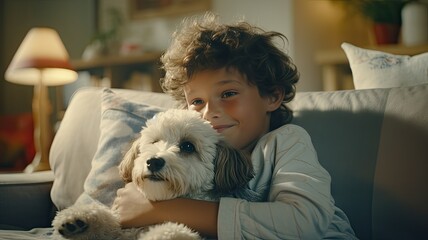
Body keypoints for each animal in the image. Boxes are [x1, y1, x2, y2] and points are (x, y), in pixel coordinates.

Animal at [51, 109, 258, 240]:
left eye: (188, 146)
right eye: (155, 141)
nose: (154, 161)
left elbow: (172, 230)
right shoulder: (123, 228)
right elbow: (110, 220)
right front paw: (78, 219)